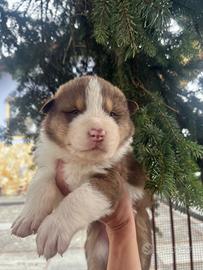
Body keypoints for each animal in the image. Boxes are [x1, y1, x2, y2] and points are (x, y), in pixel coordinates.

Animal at [10, 76, 151, 270]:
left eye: (113, 114)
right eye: (74, 111)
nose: (97, 132)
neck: (81, 161)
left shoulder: (110, 180)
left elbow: (79, 198)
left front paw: (53, 229)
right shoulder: (51, 167)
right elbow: (39, 186)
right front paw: (26, 218)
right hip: (94, 252)